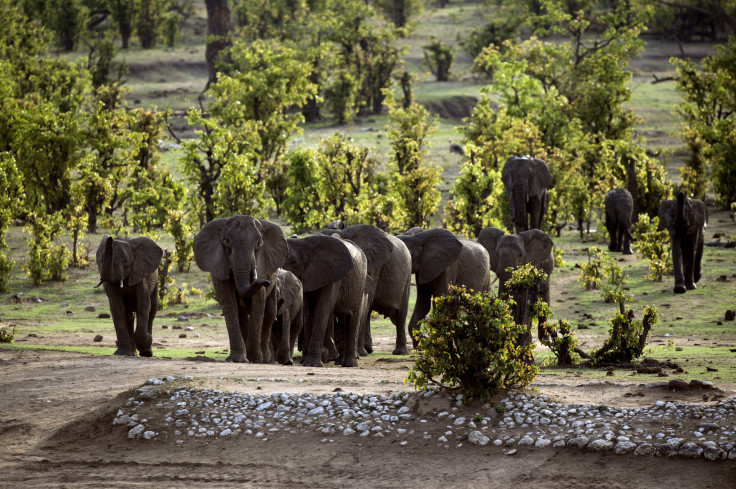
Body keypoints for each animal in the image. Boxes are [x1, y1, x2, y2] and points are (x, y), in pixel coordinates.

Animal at [193, 214, 288, 362]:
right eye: (226, 241)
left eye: (259, 243)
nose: (266, 282)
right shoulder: (220, 264)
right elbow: (229, 303)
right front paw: (237, 359)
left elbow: (258, 302)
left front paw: (255, 359)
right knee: (241, 315)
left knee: (269, 313)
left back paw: (266, 359)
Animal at [286, 234, 370, 366]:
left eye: (293, 262)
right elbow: (308, 312)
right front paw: (306, 361)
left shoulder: (334, 275)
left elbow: (322, 309)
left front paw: (312, 364)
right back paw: (339, 361)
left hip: (360, 286)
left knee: (352, 319)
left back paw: (349, 364)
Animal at [322, 224, 414, 354]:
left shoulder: (373, 263)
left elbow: (366, 297)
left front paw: (359, 352)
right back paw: (369, 349)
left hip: (407, 273)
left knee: (401, 313)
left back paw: (399, 352)